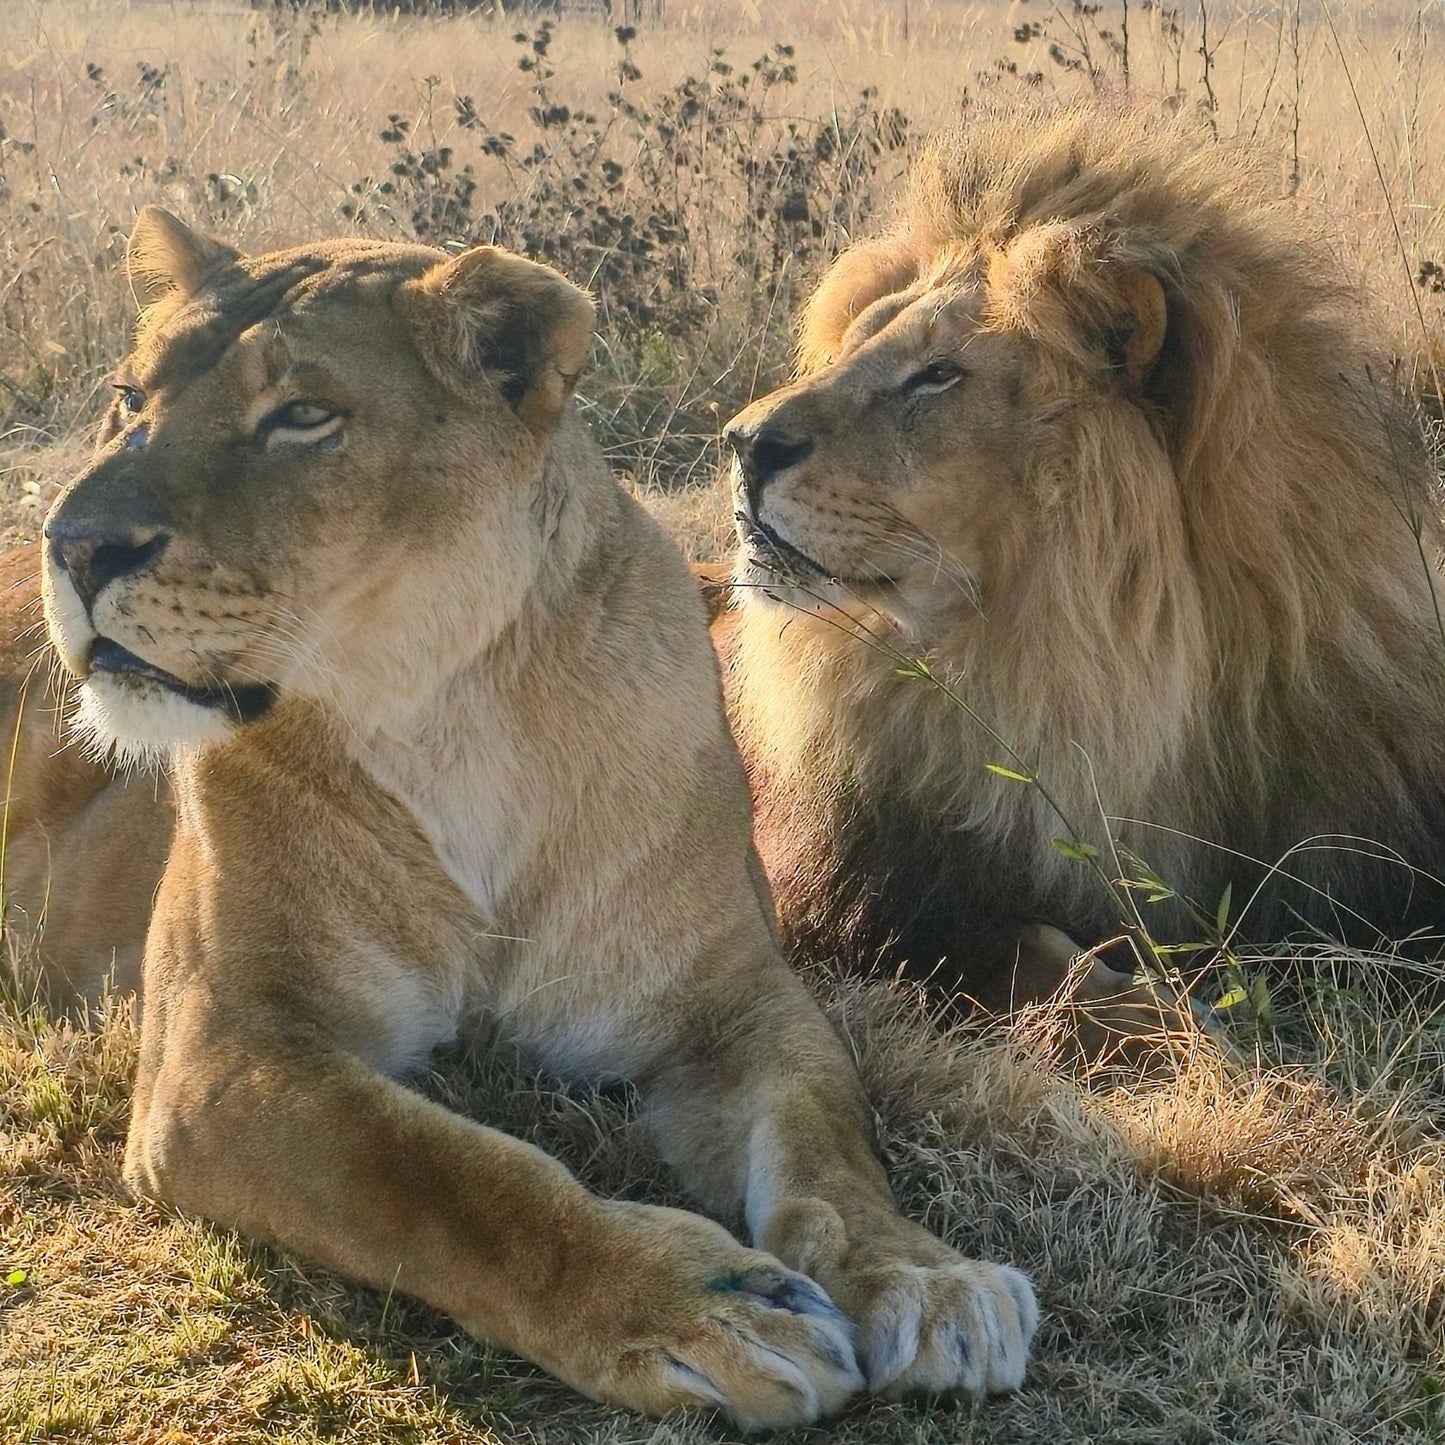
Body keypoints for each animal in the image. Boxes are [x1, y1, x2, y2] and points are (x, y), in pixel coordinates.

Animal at [9, 207, 1038, 1427]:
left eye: (303, 415)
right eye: (129, 398)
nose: (75, 543)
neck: (454, 712)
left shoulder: (731, 997)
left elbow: (830, 1138)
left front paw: (923, 1274)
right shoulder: (217, 1053)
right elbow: (444, 1172)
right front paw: (701, 1306)